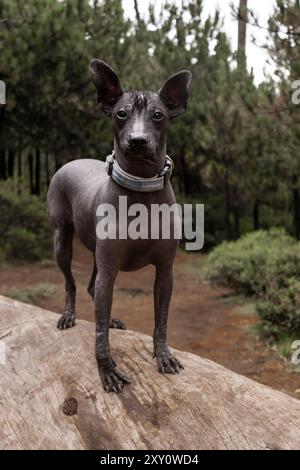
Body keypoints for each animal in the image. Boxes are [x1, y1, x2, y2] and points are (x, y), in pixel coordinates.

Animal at [47, 61, 192, 392]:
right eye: (121, 114)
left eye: (158, 115)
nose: (137, 141)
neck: (141, 188)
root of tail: (71, 161)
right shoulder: (109, 268)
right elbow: (100, 334)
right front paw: (107, 369)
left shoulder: (165, 272)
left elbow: (161, 319)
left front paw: (163, 355)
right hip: (62, 242)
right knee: (72, 283)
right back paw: (68, 315)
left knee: (91, 286)